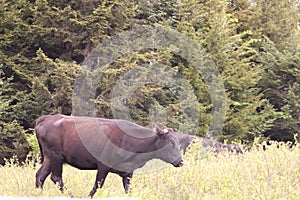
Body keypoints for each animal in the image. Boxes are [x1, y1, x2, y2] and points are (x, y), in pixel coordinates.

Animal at [34, 114, 183, 197]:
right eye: (170, 143)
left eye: (178, 142)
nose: (181, 161)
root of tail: (46, 118)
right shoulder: (103, 166)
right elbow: (97, 186)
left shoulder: (128, 172)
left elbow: (128, 189)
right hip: (56, 156)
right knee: (56, 178)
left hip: (49, 157)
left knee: (40, 176)